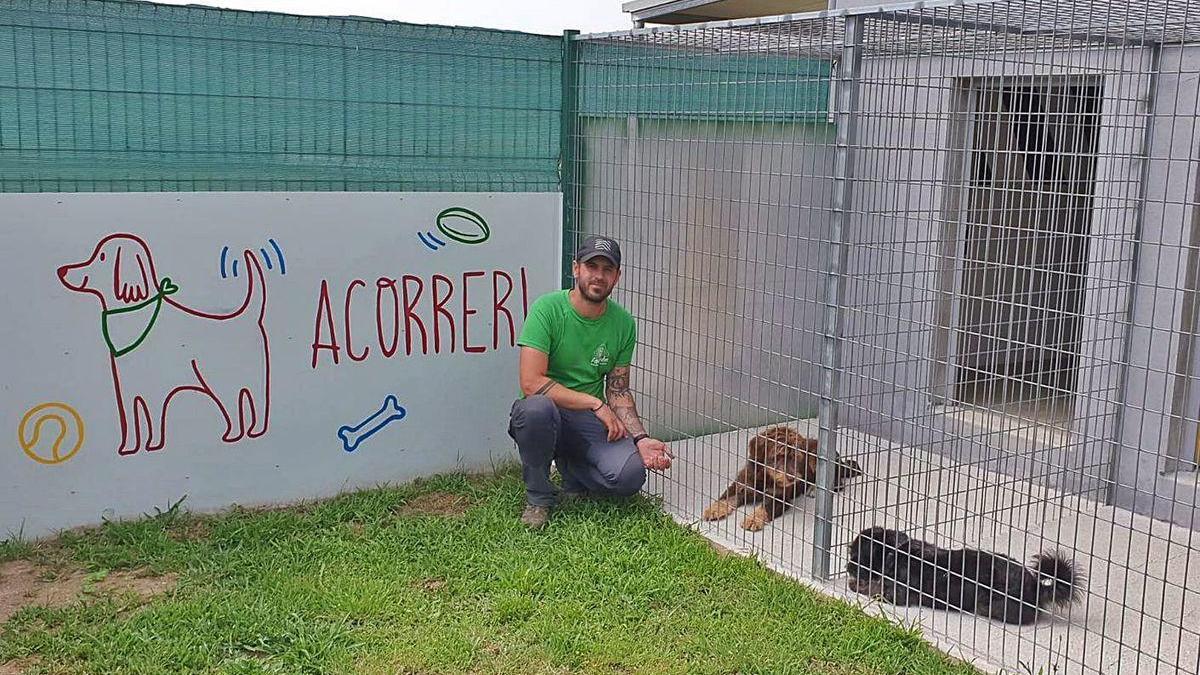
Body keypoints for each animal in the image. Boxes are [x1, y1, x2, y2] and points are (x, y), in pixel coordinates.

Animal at [700, 425, 864, 530]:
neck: (766, 477)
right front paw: (713, 509)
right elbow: (726, 497)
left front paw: (753, 520)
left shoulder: (780, 497)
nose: (792, 478)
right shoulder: (741, 485)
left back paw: (813, 489)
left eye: (795, 457)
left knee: (837, 484)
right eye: (778, 456)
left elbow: (765, 508)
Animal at [844, 526, 1089, 624]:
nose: (847, 567)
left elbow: (874, 588)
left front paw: (856, 584)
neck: (894, 553)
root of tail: (1036, 586)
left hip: (993, 602)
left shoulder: (897, 594)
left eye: (856, 555)